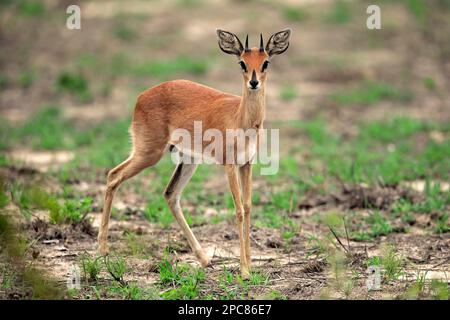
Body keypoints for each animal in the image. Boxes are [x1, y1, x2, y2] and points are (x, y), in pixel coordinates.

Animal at [97, 28, 292, 278]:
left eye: (265, 62)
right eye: (242, 62)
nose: (254, 82)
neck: (241, 119)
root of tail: (141, 97)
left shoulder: (246, 164)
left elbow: (248, 208)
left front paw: (249, 265)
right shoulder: (229, 165)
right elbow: (238, 210)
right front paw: (244, 271)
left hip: (188, 160)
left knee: (170, 194)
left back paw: (205, 259)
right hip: (148, 153)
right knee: (113, 175)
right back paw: (103, 250)